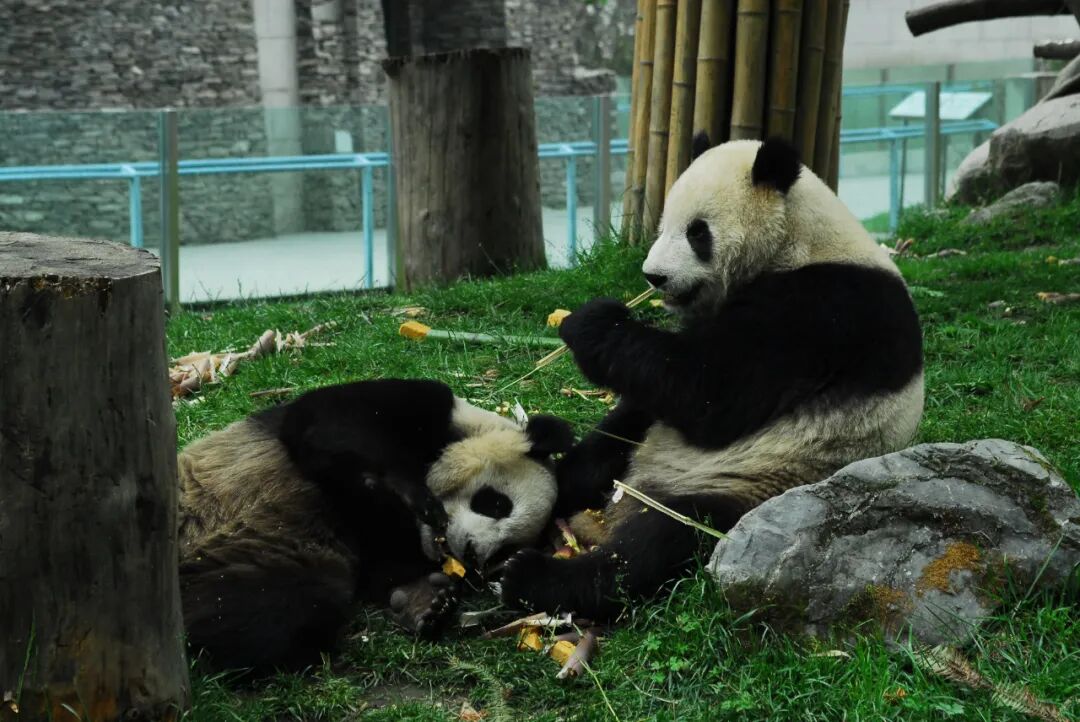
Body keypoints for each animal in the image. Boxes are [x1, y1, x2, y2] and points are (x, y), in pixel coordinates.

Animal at [177, 378, 573, 672]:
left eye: (506, 550)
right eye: (496, 503)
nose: (474, 554)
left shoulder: (372, 536)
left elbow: (385, 564)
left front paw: (426, 600)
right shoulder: (423, 405)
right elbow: (330, 422)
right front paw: (409, 492)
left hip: (263, 553)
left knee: (270, 607)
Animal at [498, 135, 925, 620]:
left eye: (697, 231)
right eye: (662, 226)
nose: (654, 276)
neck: (800, 242)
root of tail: (630, 498)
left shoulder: (826, 311)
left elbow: (710, 395)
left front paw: (590, 322)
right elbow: (660, 385)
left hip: (757, 483)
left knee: (665, 538)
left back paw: (539, 577)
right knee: (612, 443)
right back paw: (550, 484)